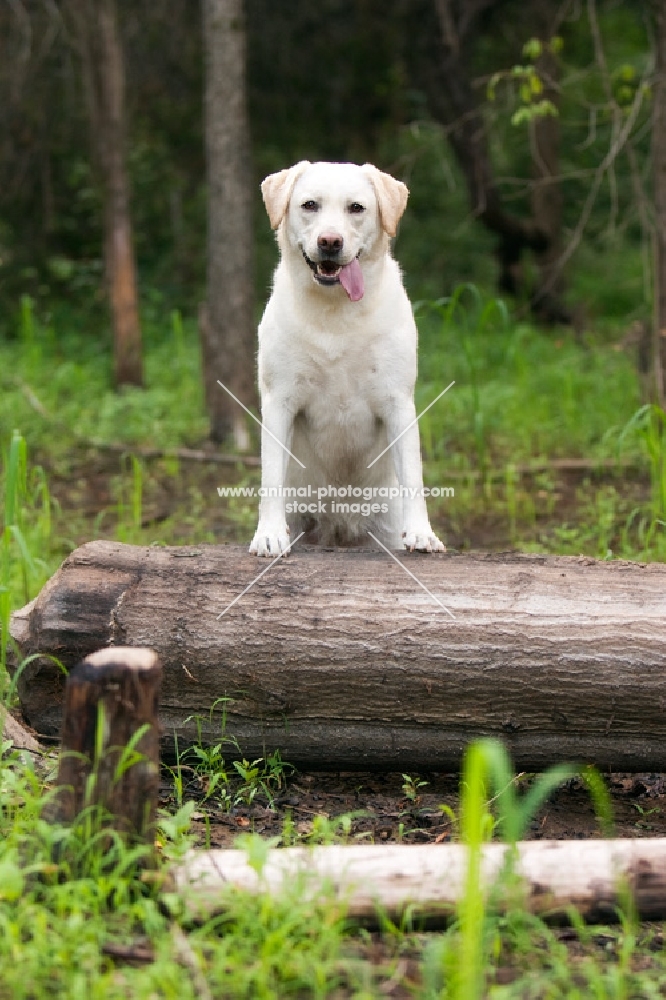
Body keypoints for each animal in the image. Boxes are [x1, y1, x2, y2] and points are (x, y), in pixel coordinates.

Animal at [252, 160, 444, 560]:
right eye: (309, 205)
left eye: (356, 208)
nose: (330, 242)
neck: (335, 312)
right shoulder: (279, 400)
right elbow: (271, 473)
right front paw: (269, 534)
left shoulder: (398, 401)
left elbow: (414, 473)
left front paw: (422, 533)